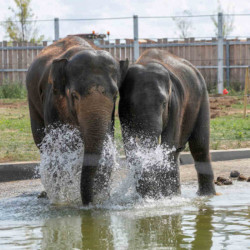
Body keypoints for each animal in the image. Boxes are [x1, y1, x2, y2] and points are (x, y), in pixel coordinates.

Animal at [26, 35, 127, 205]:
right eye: (74, 95)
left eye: (115, 95)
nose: (89, 204)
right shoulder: (52, 100)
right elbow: (59, 151)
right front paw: (62, 199)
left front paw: (101, 197)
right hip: (32, 102)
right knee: (41, 141)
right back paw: (45, 194)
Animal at [118, 48, 215, 197]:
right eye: (131, 105)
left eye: (164, 103)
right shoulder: (122, 111)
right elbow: (130, 146)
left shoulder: (175, 103)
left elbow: (168, 142)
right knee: (177, 152)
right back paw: (176, 194)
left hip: (203, 98)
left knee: (199, 147)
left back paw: (205, 195)